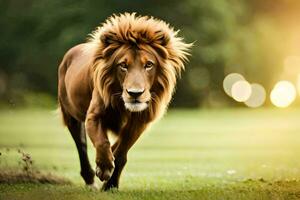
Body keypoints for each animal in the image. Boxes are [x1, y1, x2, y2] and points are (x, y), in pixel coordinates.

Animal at [57, 12, 191, 191]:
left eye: (149, 65)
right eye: (123, 65)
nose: (135, 93)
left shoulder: (139, 122)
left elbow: (121, 153)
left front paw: (111, 184)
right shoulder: (93, 116)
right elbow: (102, 142)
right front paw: (104, 168)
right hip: (70, 114)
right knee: (81, 145)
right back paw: (90, 178)